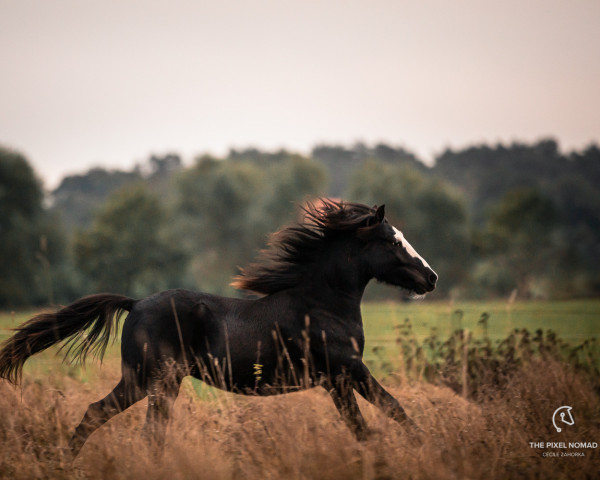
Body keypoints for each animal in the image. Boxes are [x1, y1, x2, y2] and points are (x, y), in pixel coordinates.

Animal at [0, 199, 436, 454]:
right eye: (392, 242)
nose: (430, 278)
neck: (322, 304)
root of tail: (135, 303)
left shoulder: (336, 382)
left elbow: (364, 426)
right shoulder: (347, 370)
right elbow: (391, 410)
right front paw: (428, 448)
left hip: (155, 382)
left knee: (128, 425)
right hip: (150, 379)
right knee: (118, 421)